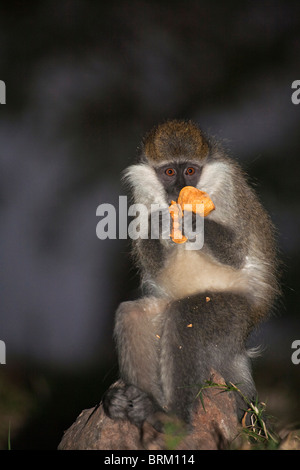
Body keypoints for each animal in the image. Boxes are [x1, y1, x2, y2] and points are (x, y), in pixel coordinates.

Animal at [102, 120, 278, 430]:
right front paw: (156, 226)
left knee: (188, 319)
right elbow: (153, 263)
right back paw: (134, 403)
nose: (181, 188)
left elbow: (236, 252)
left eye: (191, 171)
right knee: (132, 315)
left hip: (233, 316)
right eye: (170, 172)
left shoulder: (229, 188)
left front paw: (192, 219)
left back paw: (171, 416)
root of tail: (243, 339)